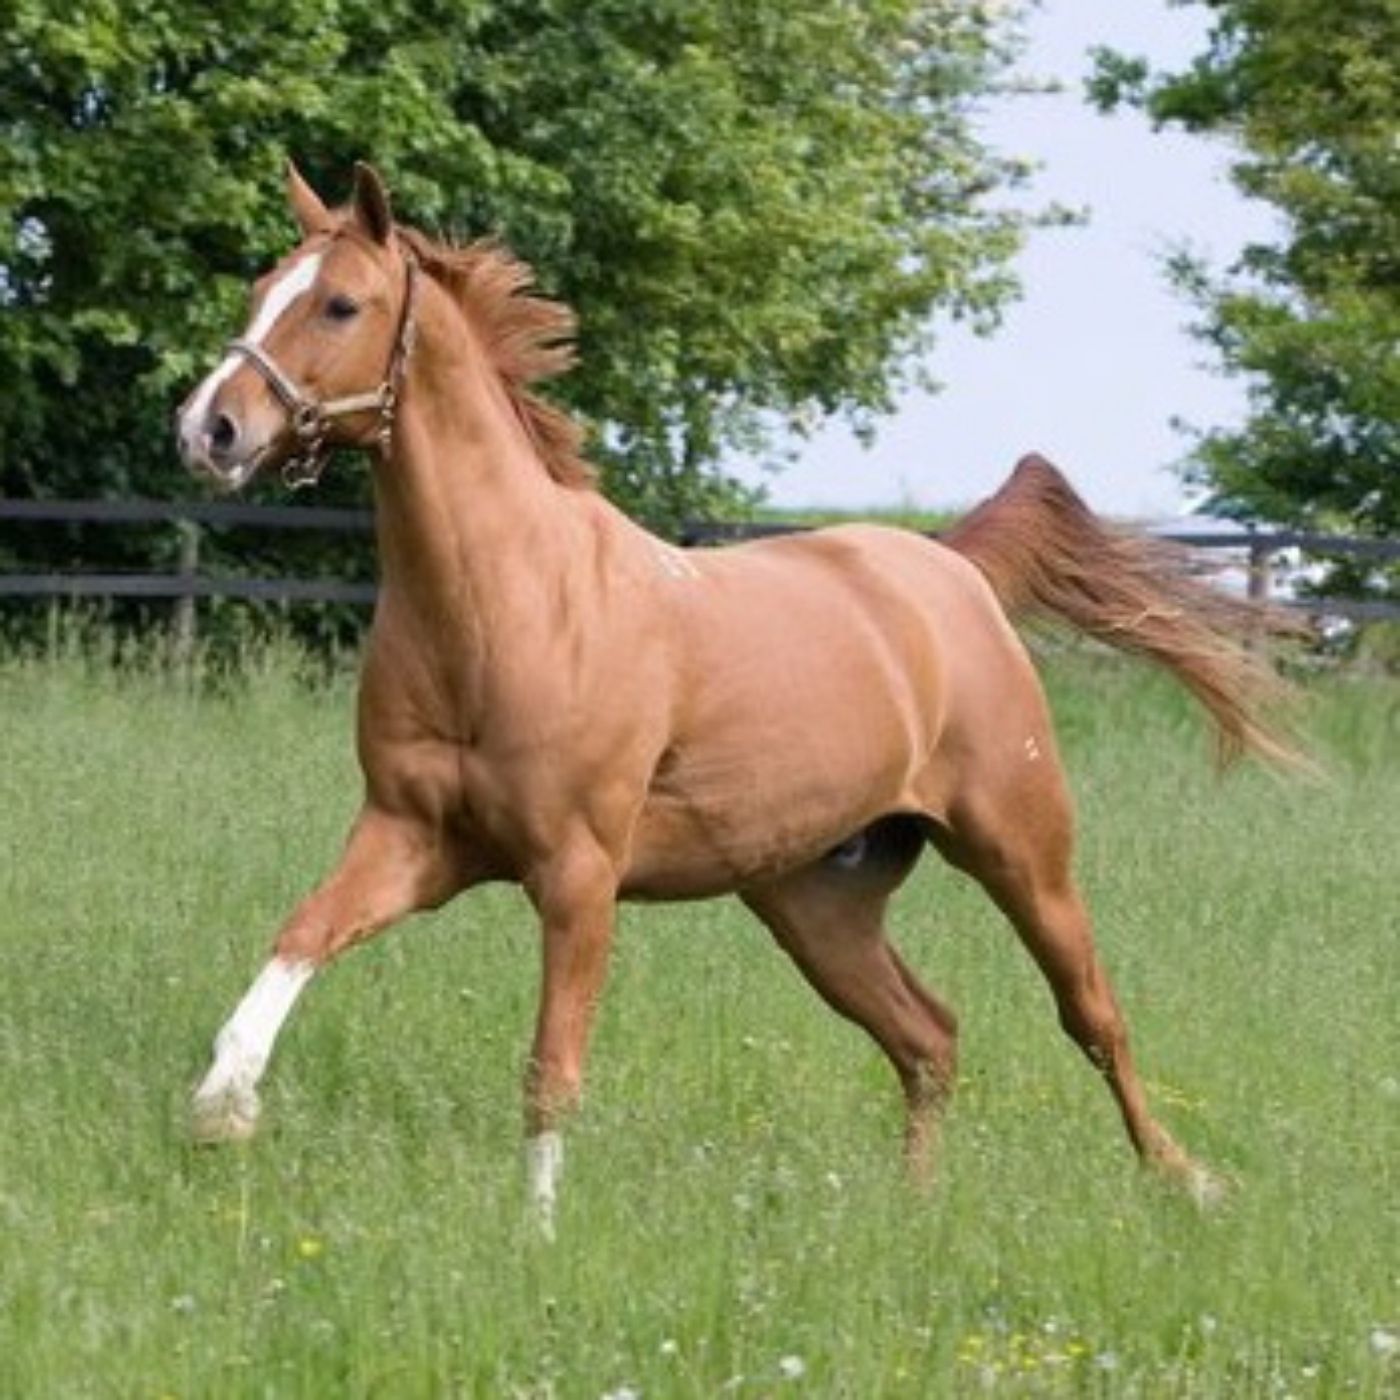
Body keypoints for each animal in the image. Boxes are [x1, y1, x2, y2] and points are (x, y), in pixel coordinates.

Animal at [176, 162, 1298, 1233]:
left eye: (341, 305)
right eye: (259, 289)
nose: (208, 428)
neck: (508, 605)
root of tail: (950, 565)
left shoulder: (577, 873)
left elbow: (550, 1072)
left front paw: (536, 1238)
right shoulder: (410, 835)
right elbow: (301, 934)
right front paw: (223, 1105)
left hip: (1020, 851)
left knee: (1093, 1017)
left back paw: (1189, 1183)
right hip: (815, 900)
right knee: (928, 1036)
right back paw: (916, 1210)